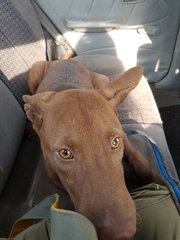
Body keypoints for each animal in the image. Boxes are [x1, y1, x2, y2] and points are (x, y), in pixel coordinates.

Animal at [23, 59, 159, 240]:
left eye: (115, 142)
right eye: (65, 153)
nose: (121, 233)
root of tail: (64, 60)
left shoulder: (122, 134)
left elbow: (140, 160)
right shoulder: (54, 176)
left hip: (103, 80)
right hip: (34, 72)